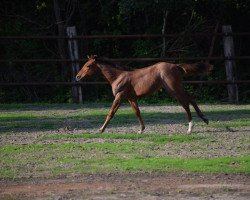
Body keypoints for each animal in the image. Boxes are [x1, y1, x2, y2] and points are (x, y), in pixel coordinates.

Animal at [76, 55, 213, 134]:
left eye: (88, 65)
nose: (77, 76)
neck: (118, 77)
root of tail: (176, 65)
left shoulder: (119, 96)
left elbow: (111, 113)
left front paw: (101, 129)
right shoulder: (131, 98)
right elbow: (137, 112)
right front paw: (141, 130)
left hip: (174, 89)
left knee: (185, 103)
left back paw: (190, 128)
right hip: (177, 88)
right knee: (191, 98)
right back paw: (204, 119)